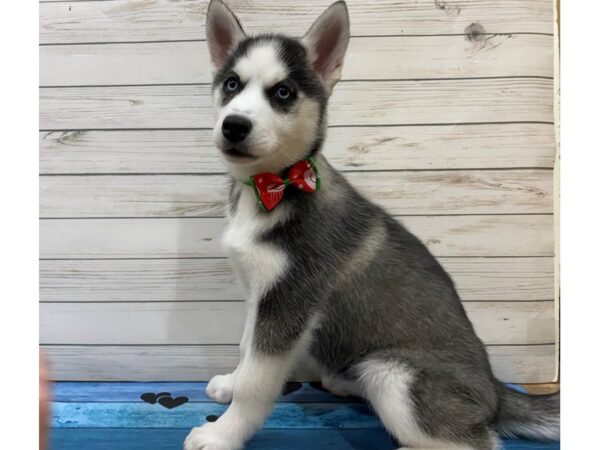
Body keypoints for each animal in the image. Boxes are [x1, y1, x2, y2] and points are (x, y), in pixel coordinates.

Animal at [184, 1, 564, 448]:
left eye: (283, 93)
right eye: (231, 84)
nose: (234, 125)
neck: (270, 187)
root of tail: (496, 390)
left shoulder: (290, 300)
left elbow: (257, 383)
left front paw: (223, 432)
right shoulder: (260, 294)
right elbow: (246, 347)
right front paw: (230, 382)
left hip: (395, 377)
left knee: (478, 440)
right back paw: (339, 380)